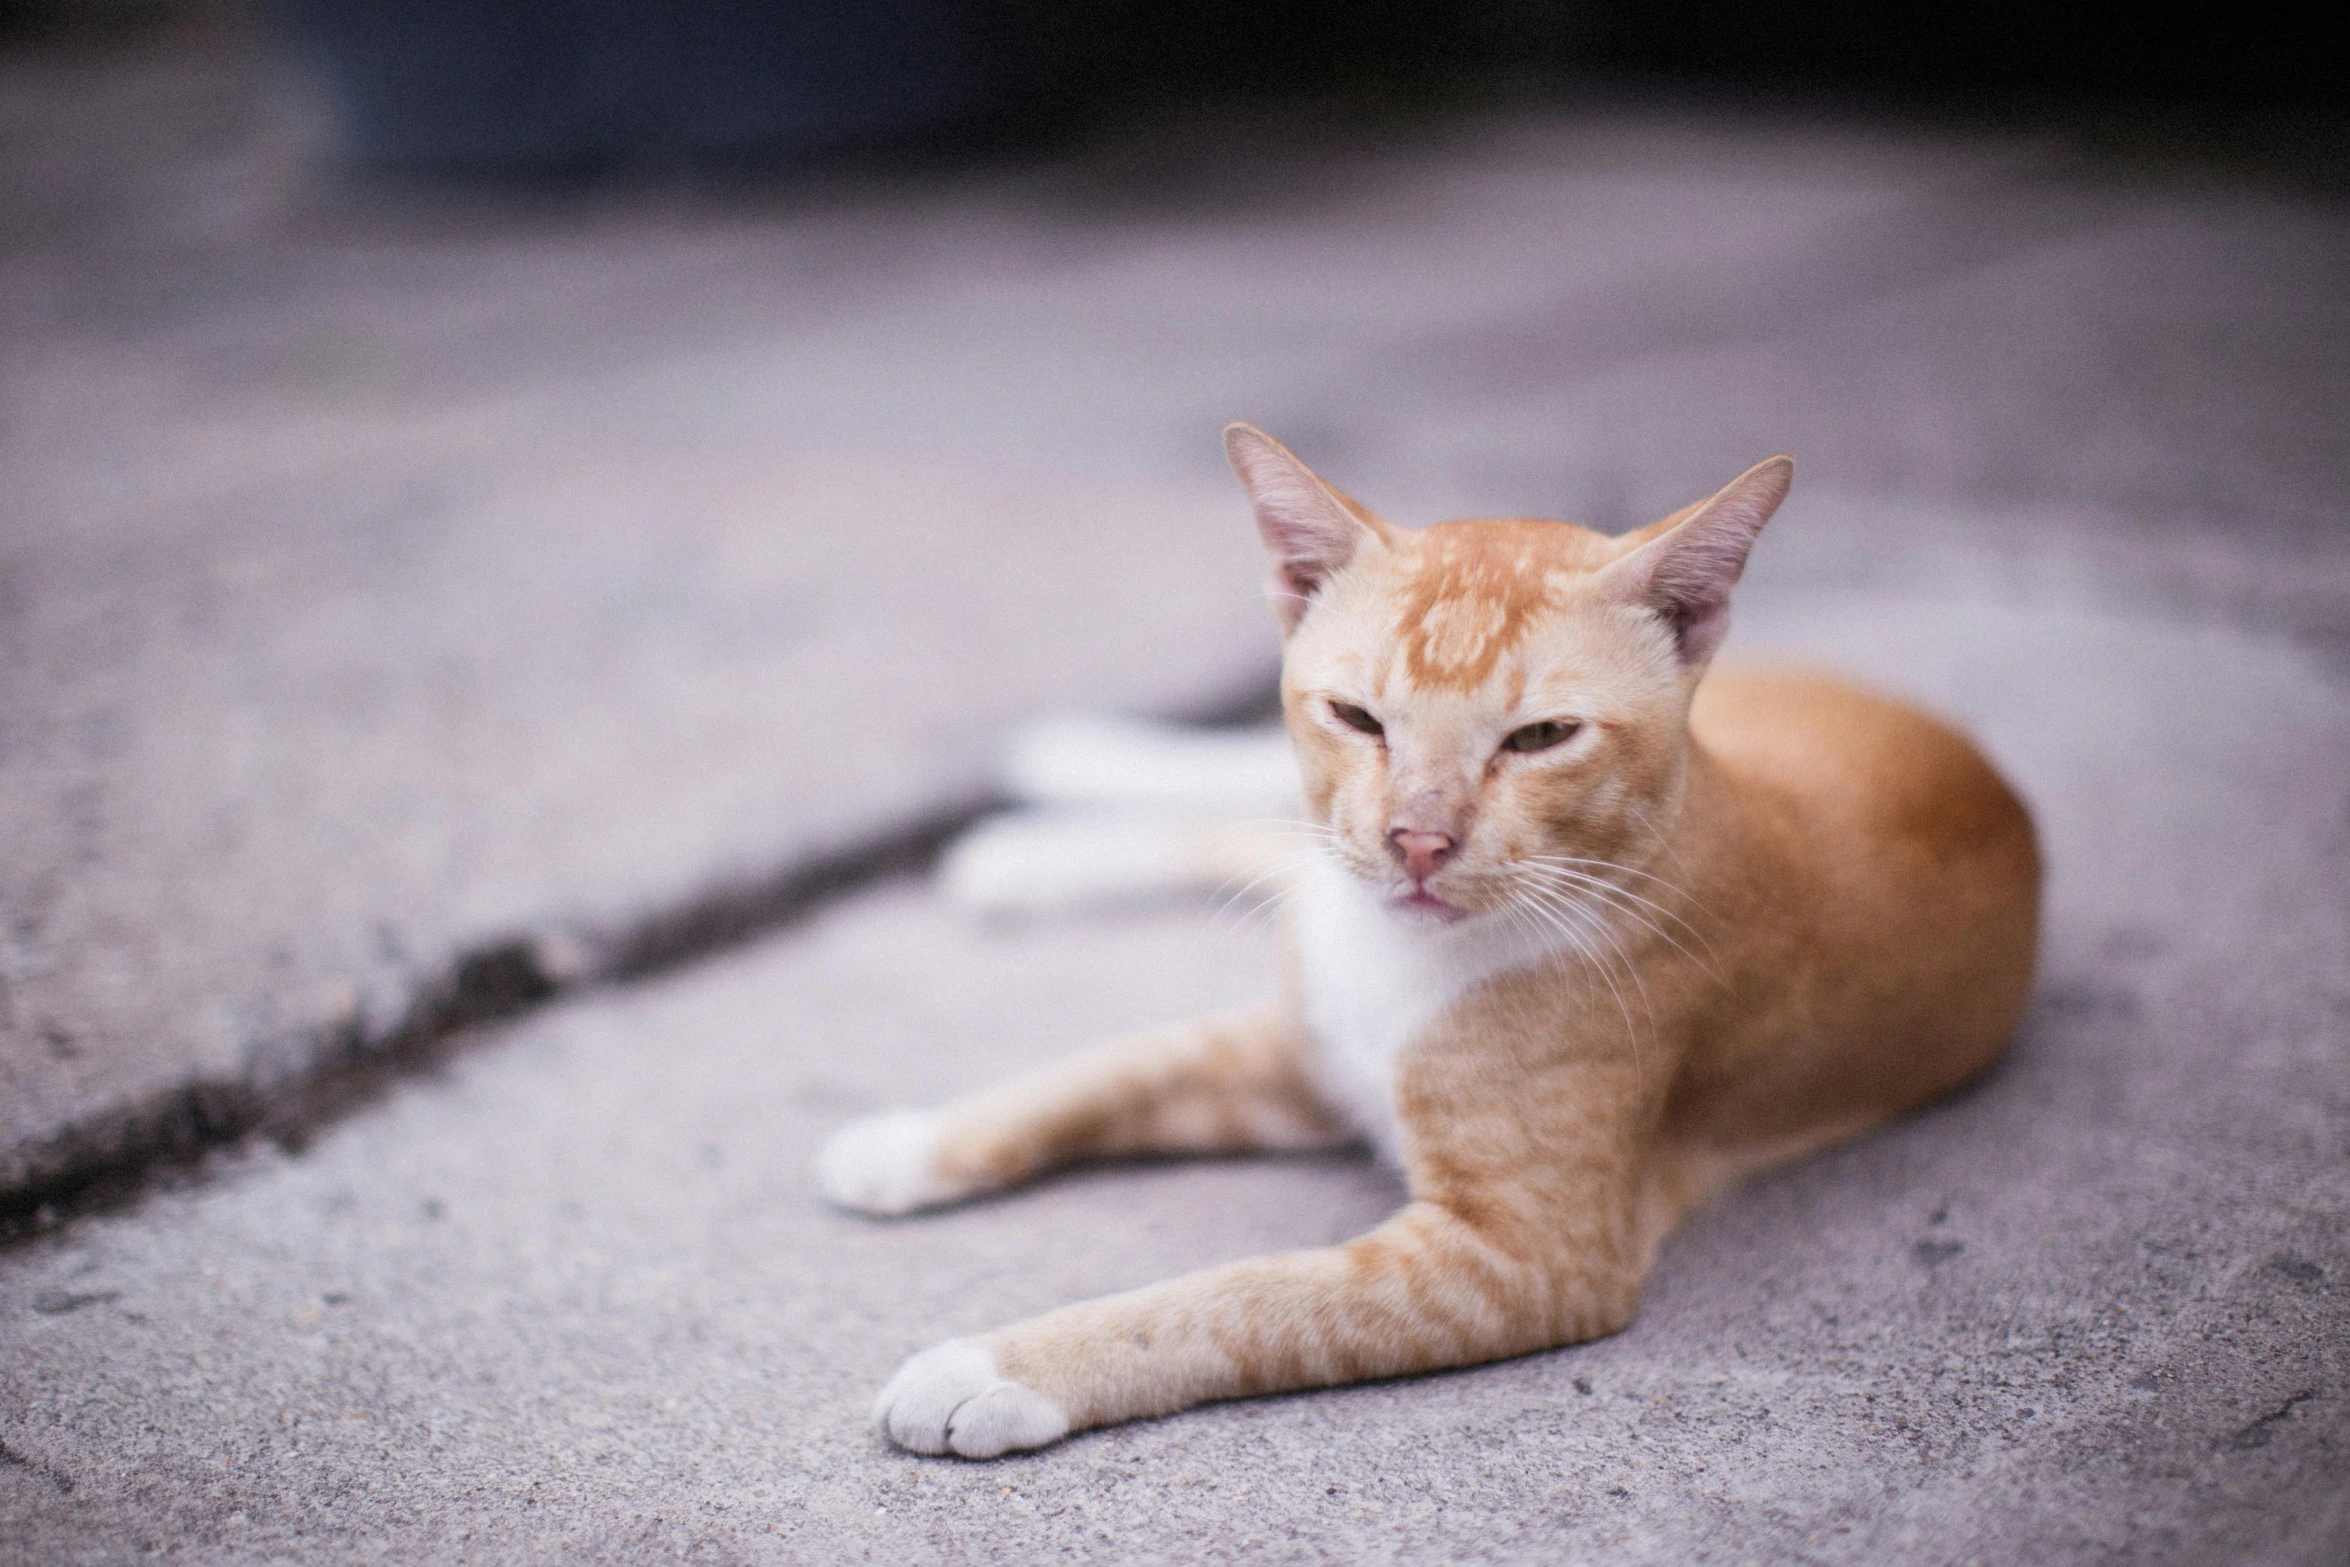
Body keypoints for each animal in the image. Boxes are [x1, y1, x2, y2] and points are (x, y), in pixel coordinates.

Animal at [813, 425, 2039, 1456]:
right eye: (1357, 717)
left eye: (1541, 737)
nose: (1414, 838)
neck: (1394, 959)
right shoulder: (1290, 1044)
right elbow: (1097, 1072)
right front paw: (914, 1141)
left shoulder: (1515, 1255)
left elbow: (1237, 1297)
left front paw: (996, 1364)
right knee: (1240, 806)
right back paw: (1058, 778)